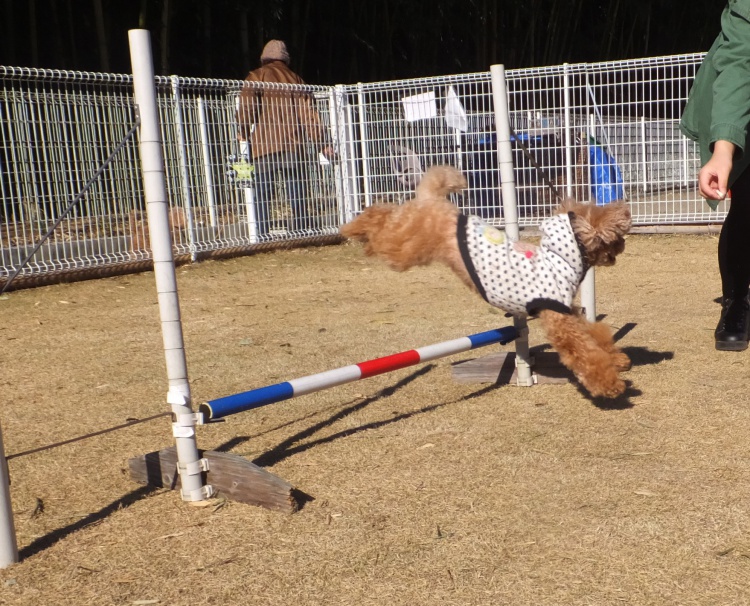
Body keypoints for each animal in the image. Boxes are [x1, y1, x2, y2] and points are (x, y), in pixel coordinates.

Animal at [340, 165, 632, 398]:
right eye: (617, 237)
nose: (623, 247)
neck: (560, 258)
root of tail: (438, 202)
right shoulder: (559, 321)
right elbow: (584, 352)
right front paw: (611, 385)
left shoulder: (567, 312)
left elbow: (595, 333)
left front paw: (617, 358)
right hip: (405, 247)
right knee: (382, 222)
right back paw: (353, 227)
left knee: (389, 216)